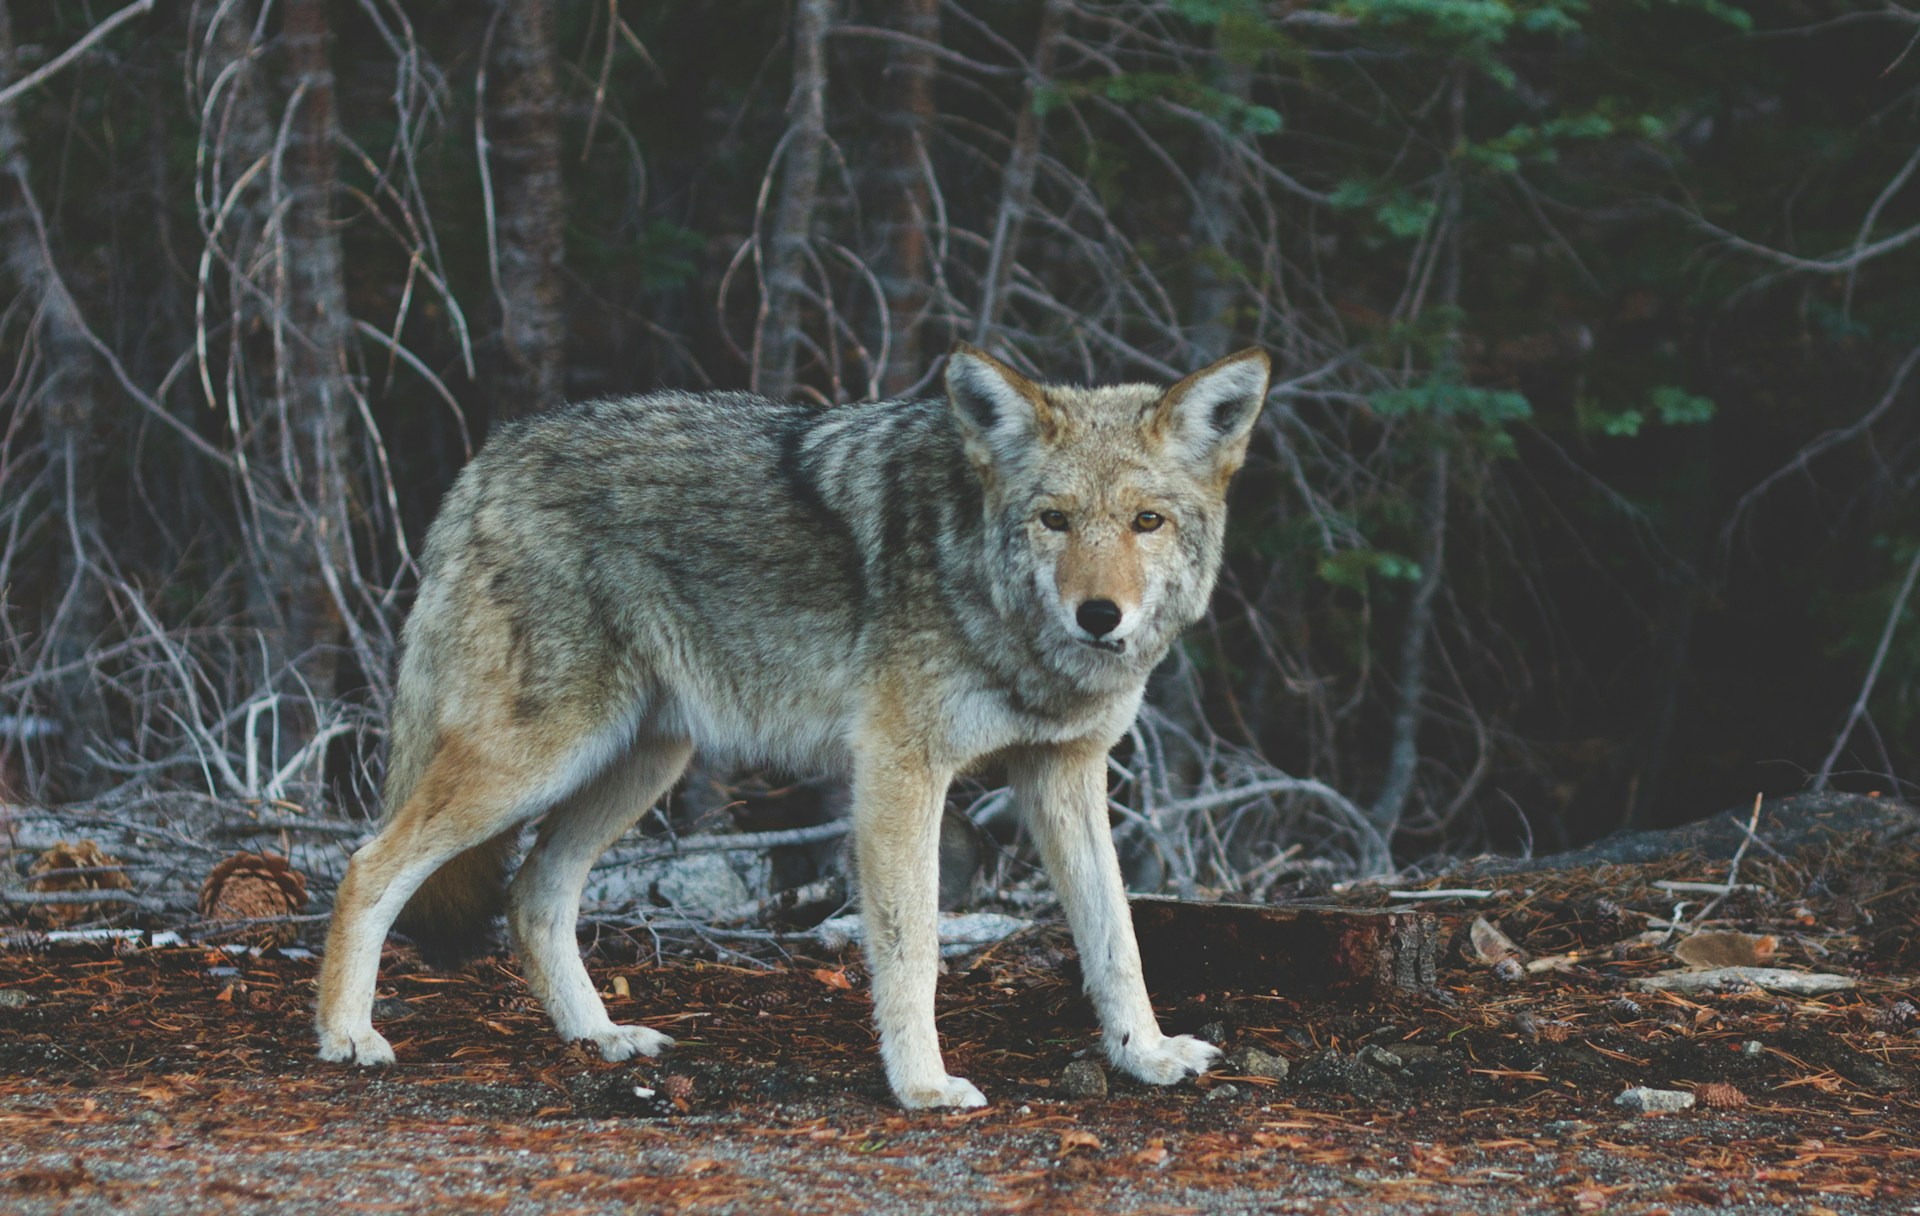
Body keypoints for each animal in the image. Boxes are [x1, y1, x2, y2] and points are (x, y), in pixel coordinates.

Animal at [315, 343, 1271, 1108]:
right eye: (1055, 519)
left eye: (1147, 522)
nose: (1099, 615)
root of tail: (491, 456)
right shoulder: (899, 771)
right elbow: (913, 946)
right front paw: (923, 1087)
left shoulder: (1064, 772)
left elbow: (1117, 938)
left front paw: (1146, 1055)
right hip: (539, 759)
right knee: (368, 865)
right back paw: (347, 1036)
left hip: (639, 764)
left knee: (532, 895)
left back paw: (602, 1038)